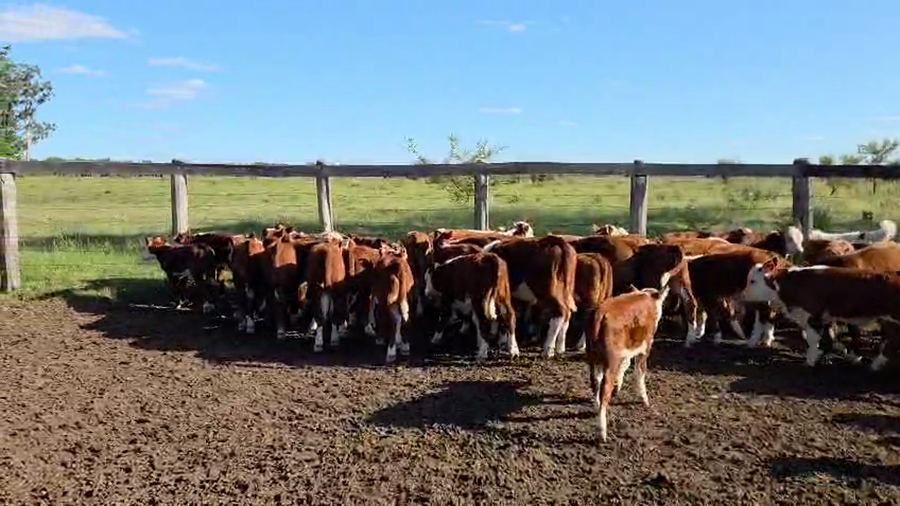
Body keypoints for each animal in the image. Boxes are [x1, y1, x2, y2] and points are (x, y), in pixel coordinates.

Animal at [584, 284, 671, 442]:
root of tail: (600, 312)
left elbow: (625, 366)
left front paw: (618, 387)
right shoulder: (645, 346)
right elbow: (639, 372)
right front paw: (644, 399)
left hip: (592, 357)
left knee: (595, 381)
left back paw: (596, 406)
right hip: (611, 361)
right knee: (605, 389)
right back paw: (602, 431)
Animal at [743, 259, 900, 369]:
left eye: (752, 281)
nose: (743, 295)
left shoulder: (813, 316)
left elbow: (813, 340)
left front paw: (810, 361)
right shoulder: (825, 319)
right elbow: (828, 339)